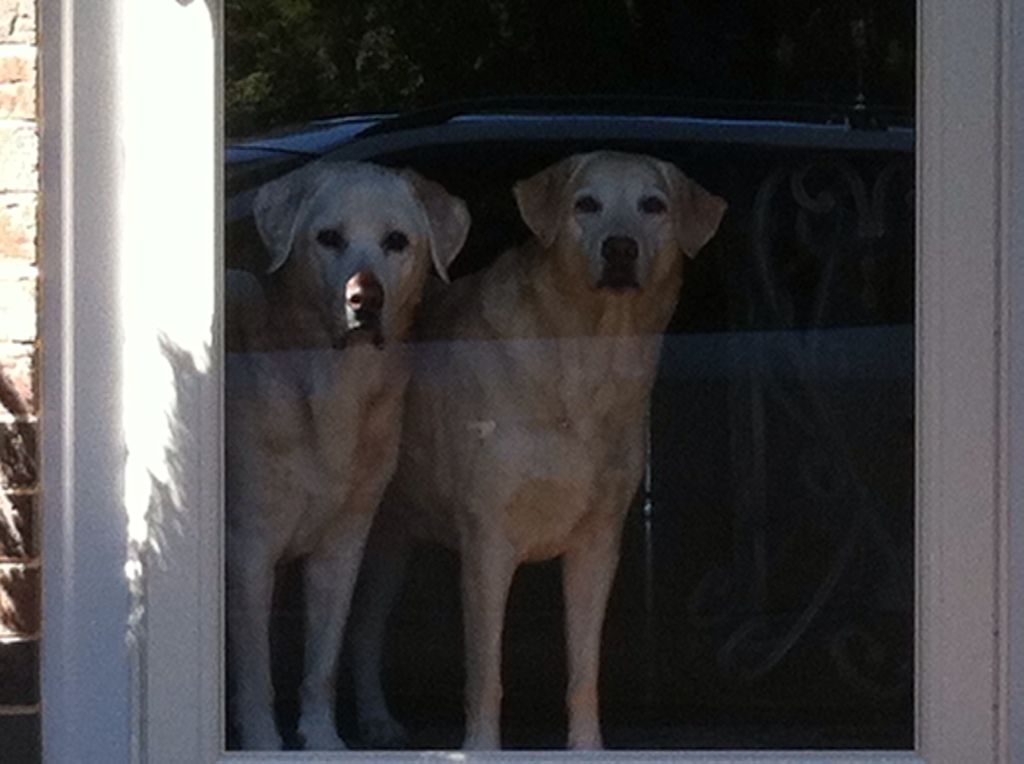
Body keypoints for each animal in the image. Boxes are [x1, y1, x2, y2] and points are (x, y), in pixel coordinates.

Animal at [226, 157, 468, 745]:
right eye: (329, 238)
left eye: (396, 241)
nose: (366, 299)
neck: (338, 385)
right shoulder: (248, 549)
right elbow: (255, 671)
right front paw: (264, 745)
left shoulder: (341, 547)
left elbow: (323, 661)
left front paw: (321, 739)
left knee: (363, 633)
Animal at [352, 151, 729, 745]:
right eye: (585, 204)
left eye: (653, 205)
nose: (620, 248)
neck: (589, 357)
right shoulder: (488, 543)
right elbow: (486, 674)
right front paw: (480, 748)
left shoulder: (598, 546)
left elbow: (584, 670)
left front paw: (588, 747)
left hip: (392, 538)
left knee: (366, 627)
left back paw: (376, 719)